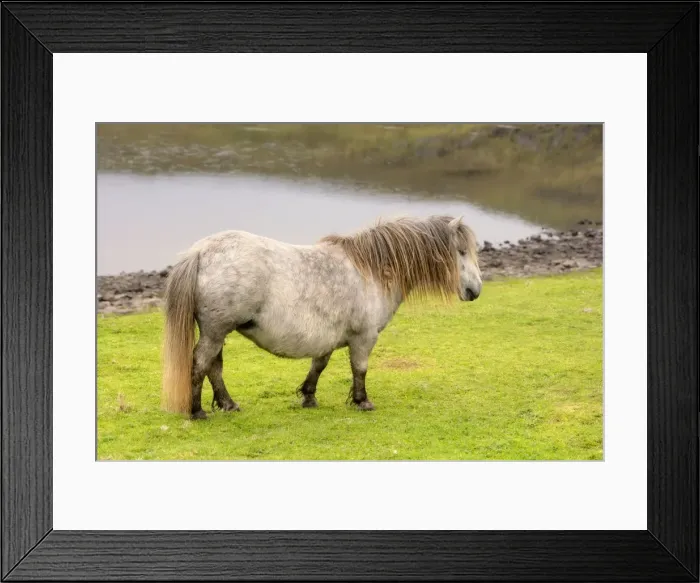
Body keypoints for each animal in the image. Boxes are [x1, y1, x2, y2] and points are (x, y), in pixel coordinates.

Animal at [161, 214, 482, 420]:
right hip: (216, 331)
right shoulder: (364, 337)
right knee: (201, 364)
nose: (475, 290)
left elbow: (319, 365)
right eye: (461, 251)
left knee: (214, 367)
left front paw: (308, 397)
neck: (371, 271)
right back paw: (197, 411)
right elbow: (360, 369)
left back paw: (228, 405)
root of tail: (201, 251)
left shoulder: (327, 336)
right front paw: (362, 401)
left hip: (217, 331)